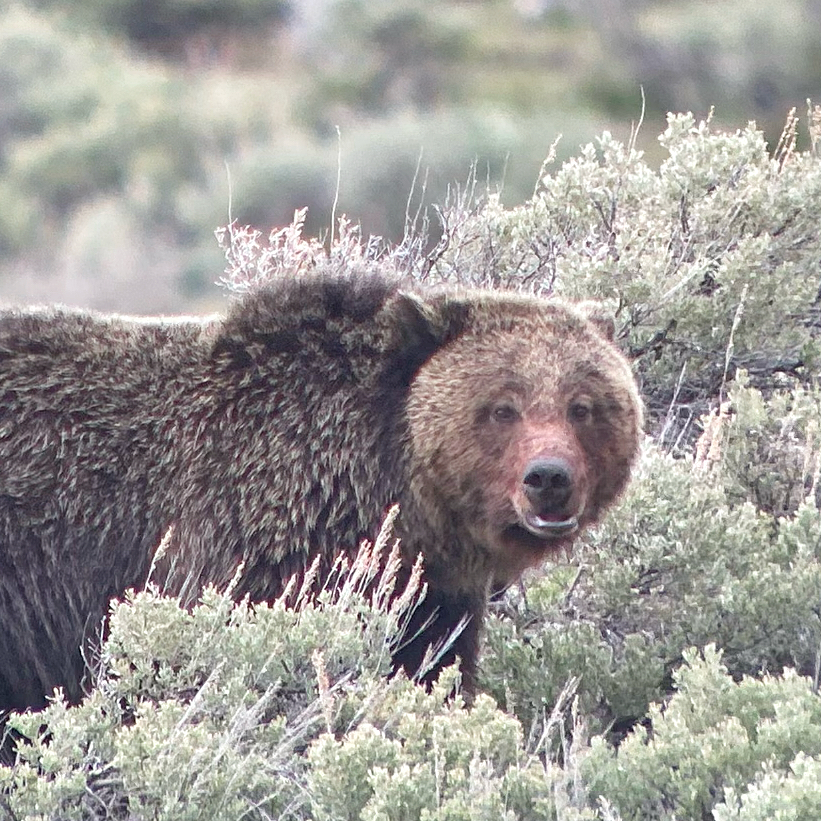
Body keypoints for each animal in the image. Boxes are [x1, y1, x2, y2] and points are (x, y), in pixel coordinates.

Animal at [0, 272, 640, 716]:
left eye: (583, 406)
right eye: (502, 407)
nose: (549, 479)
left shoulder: (434, 595)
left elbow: (429, 665)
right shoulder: (249, 542)